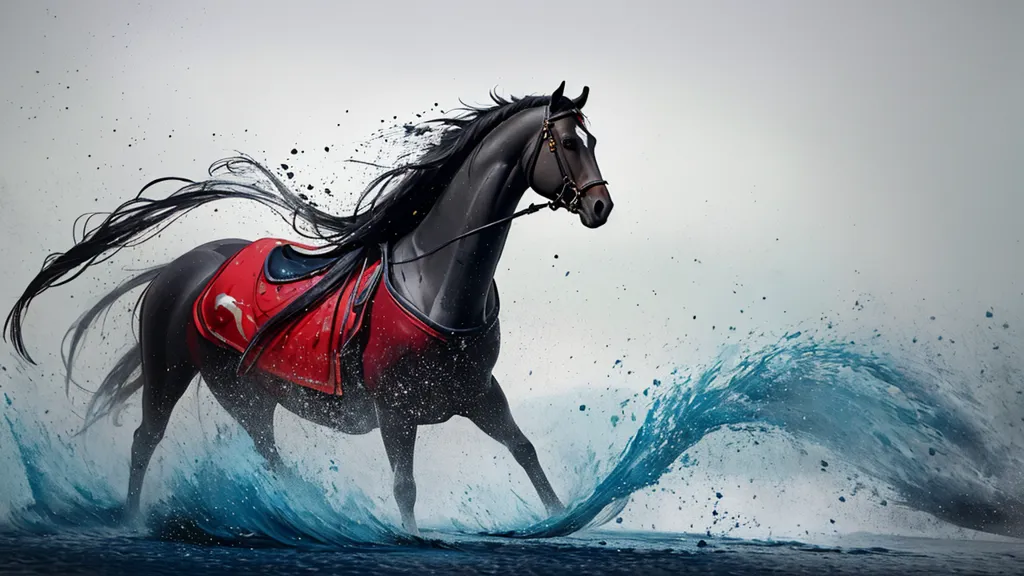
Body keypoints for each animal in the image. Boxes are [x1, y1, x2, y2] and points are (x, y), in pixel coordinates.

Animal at [4, 81, 610, 532]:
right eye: (566, 143)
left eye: (594, 140)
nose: (601, 205)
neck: (432, 283)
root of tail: (177, 269)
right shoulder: (395, 410)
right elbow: (406, 487)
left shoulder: (480, 393)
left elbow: (524, 450)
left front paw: (564, 518)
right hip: (189, 377)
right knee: (149, 441)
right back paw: (136, 521)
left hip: (248, 392)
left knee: (266, 458)